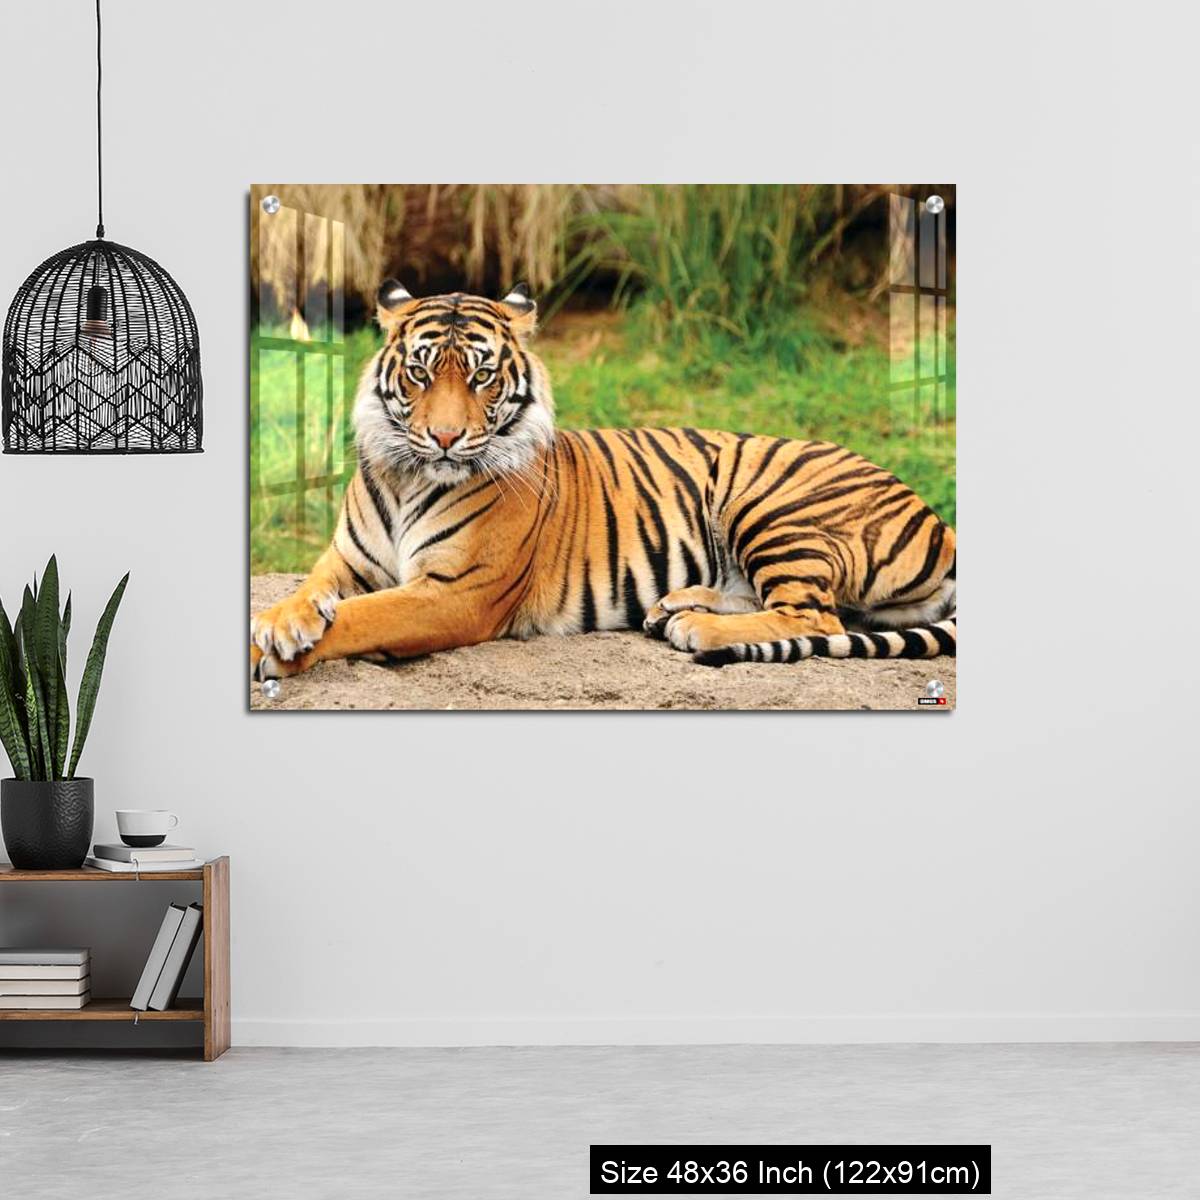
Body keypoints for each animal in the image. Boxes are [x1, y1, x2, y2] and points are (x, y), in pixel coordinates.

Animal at [250, 281, 956, 680]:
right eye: (421, 373)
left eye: (481, 376)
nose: (445, 438)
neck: (406, 477)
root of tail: (942, 525)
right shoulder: (346, 559)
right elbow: (313, 591)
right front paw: (282, 621)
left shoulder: (455, 592)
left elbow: (361, 617)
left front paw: (275, 651)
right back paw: (676, 606)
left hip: (771, 505)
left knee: (814, 614)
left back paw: (697, 628)